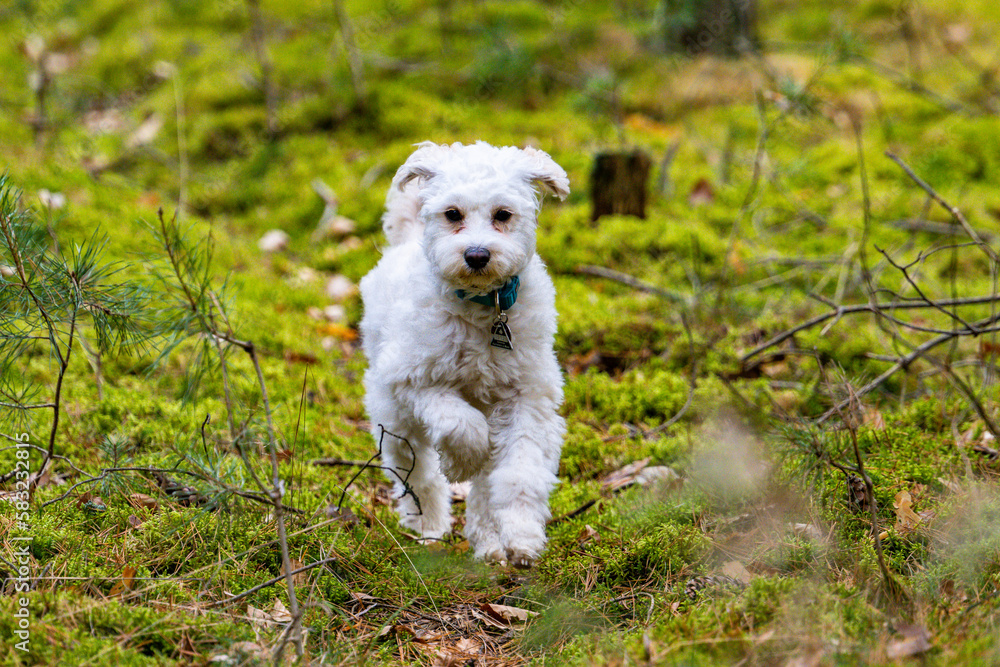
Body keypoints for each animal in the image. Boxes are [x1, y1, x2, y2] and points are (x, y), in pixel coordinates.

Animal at [362, 141, 572, 568]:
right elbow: (461, 423)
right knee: (418, 475)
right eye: (452, 214)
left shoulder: (526, 398)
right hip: (394, 419)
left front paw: (522, 536)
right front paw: (462, 461)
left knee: (484, 487)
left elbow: (520, 473)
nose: (476, 255)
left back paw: (489, 542)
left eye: (502, 215)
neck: (483, 308)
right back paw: (428, 525)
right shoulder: (413, 380)